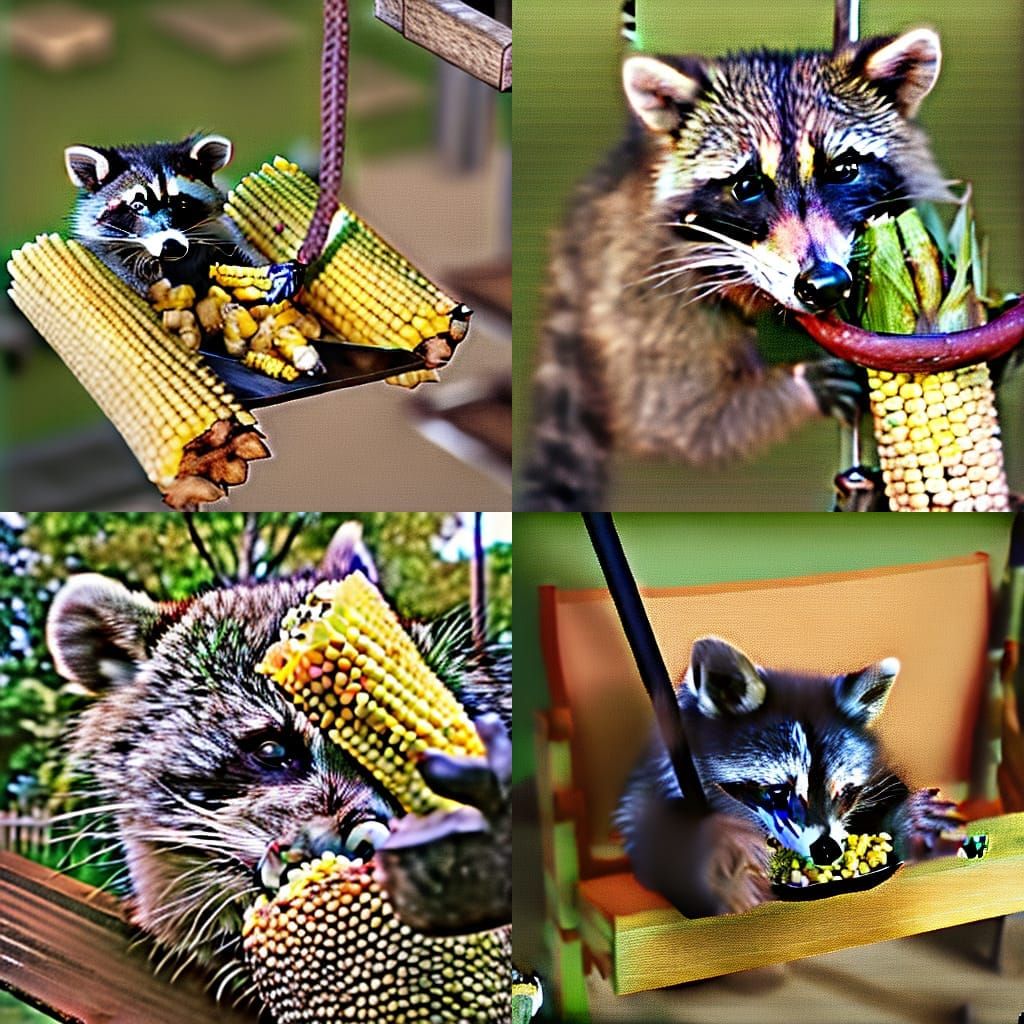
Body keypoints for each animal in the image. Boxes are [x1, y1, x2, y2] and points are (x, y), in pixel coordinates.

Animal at [519, 20, 951, 510]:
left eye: (844, 170)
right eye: (747, 186)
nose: (823, 284)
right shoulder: (649, 277)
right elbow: (672, 415)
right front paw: (802, 385)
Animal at [613, 637, 965, 917]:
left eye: (844, 793)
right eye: (778, 791)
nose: (827, 852)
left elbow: (890, 791)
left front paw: (907, 815)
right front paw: (716, 850)